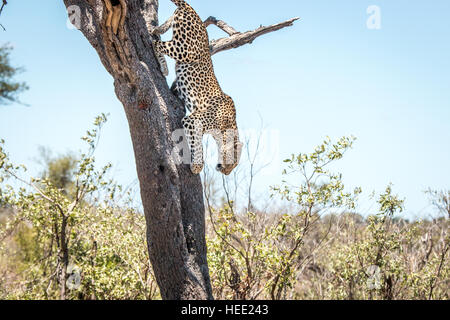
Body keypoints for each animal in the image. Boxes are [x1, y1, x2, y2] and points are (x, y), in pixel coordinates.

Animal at [150, 0, 243, 175]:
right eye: (233, 163)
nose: (225, 173)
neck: (227, 126)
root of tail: (191, 9)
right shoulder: (193, 120)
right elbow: (198, 146)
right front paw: (197, 166)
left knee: (158, 34)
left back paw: (157, 29)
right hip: (184, 49)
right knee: (157, 44)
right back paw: (164, 67)